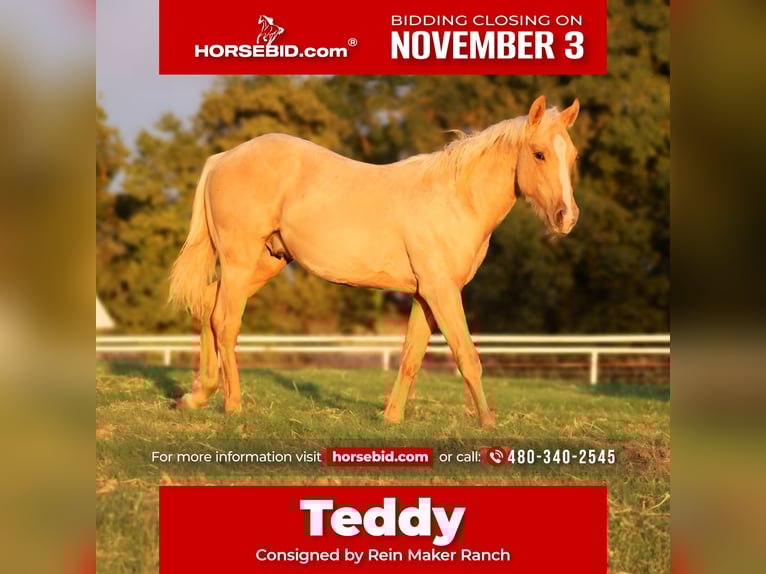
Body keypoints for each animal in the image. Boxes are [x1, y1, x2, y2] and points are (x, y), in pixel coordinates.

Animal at [169, 95, 580, 427]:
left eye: (572, 156)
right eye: (539, 153)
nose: (567, 218)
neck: (455, 199)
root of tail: (223, 158)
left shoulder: (425, 295)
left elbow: (411, 356)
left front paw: (392, 418)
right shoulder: (442, 292)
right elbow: (467, 355)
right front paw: (488, 424)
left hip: (265, 262)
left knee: (208, 306)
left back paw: (196, 396)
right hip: (240, 261)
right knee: (226, 323)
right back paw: (233, 405)